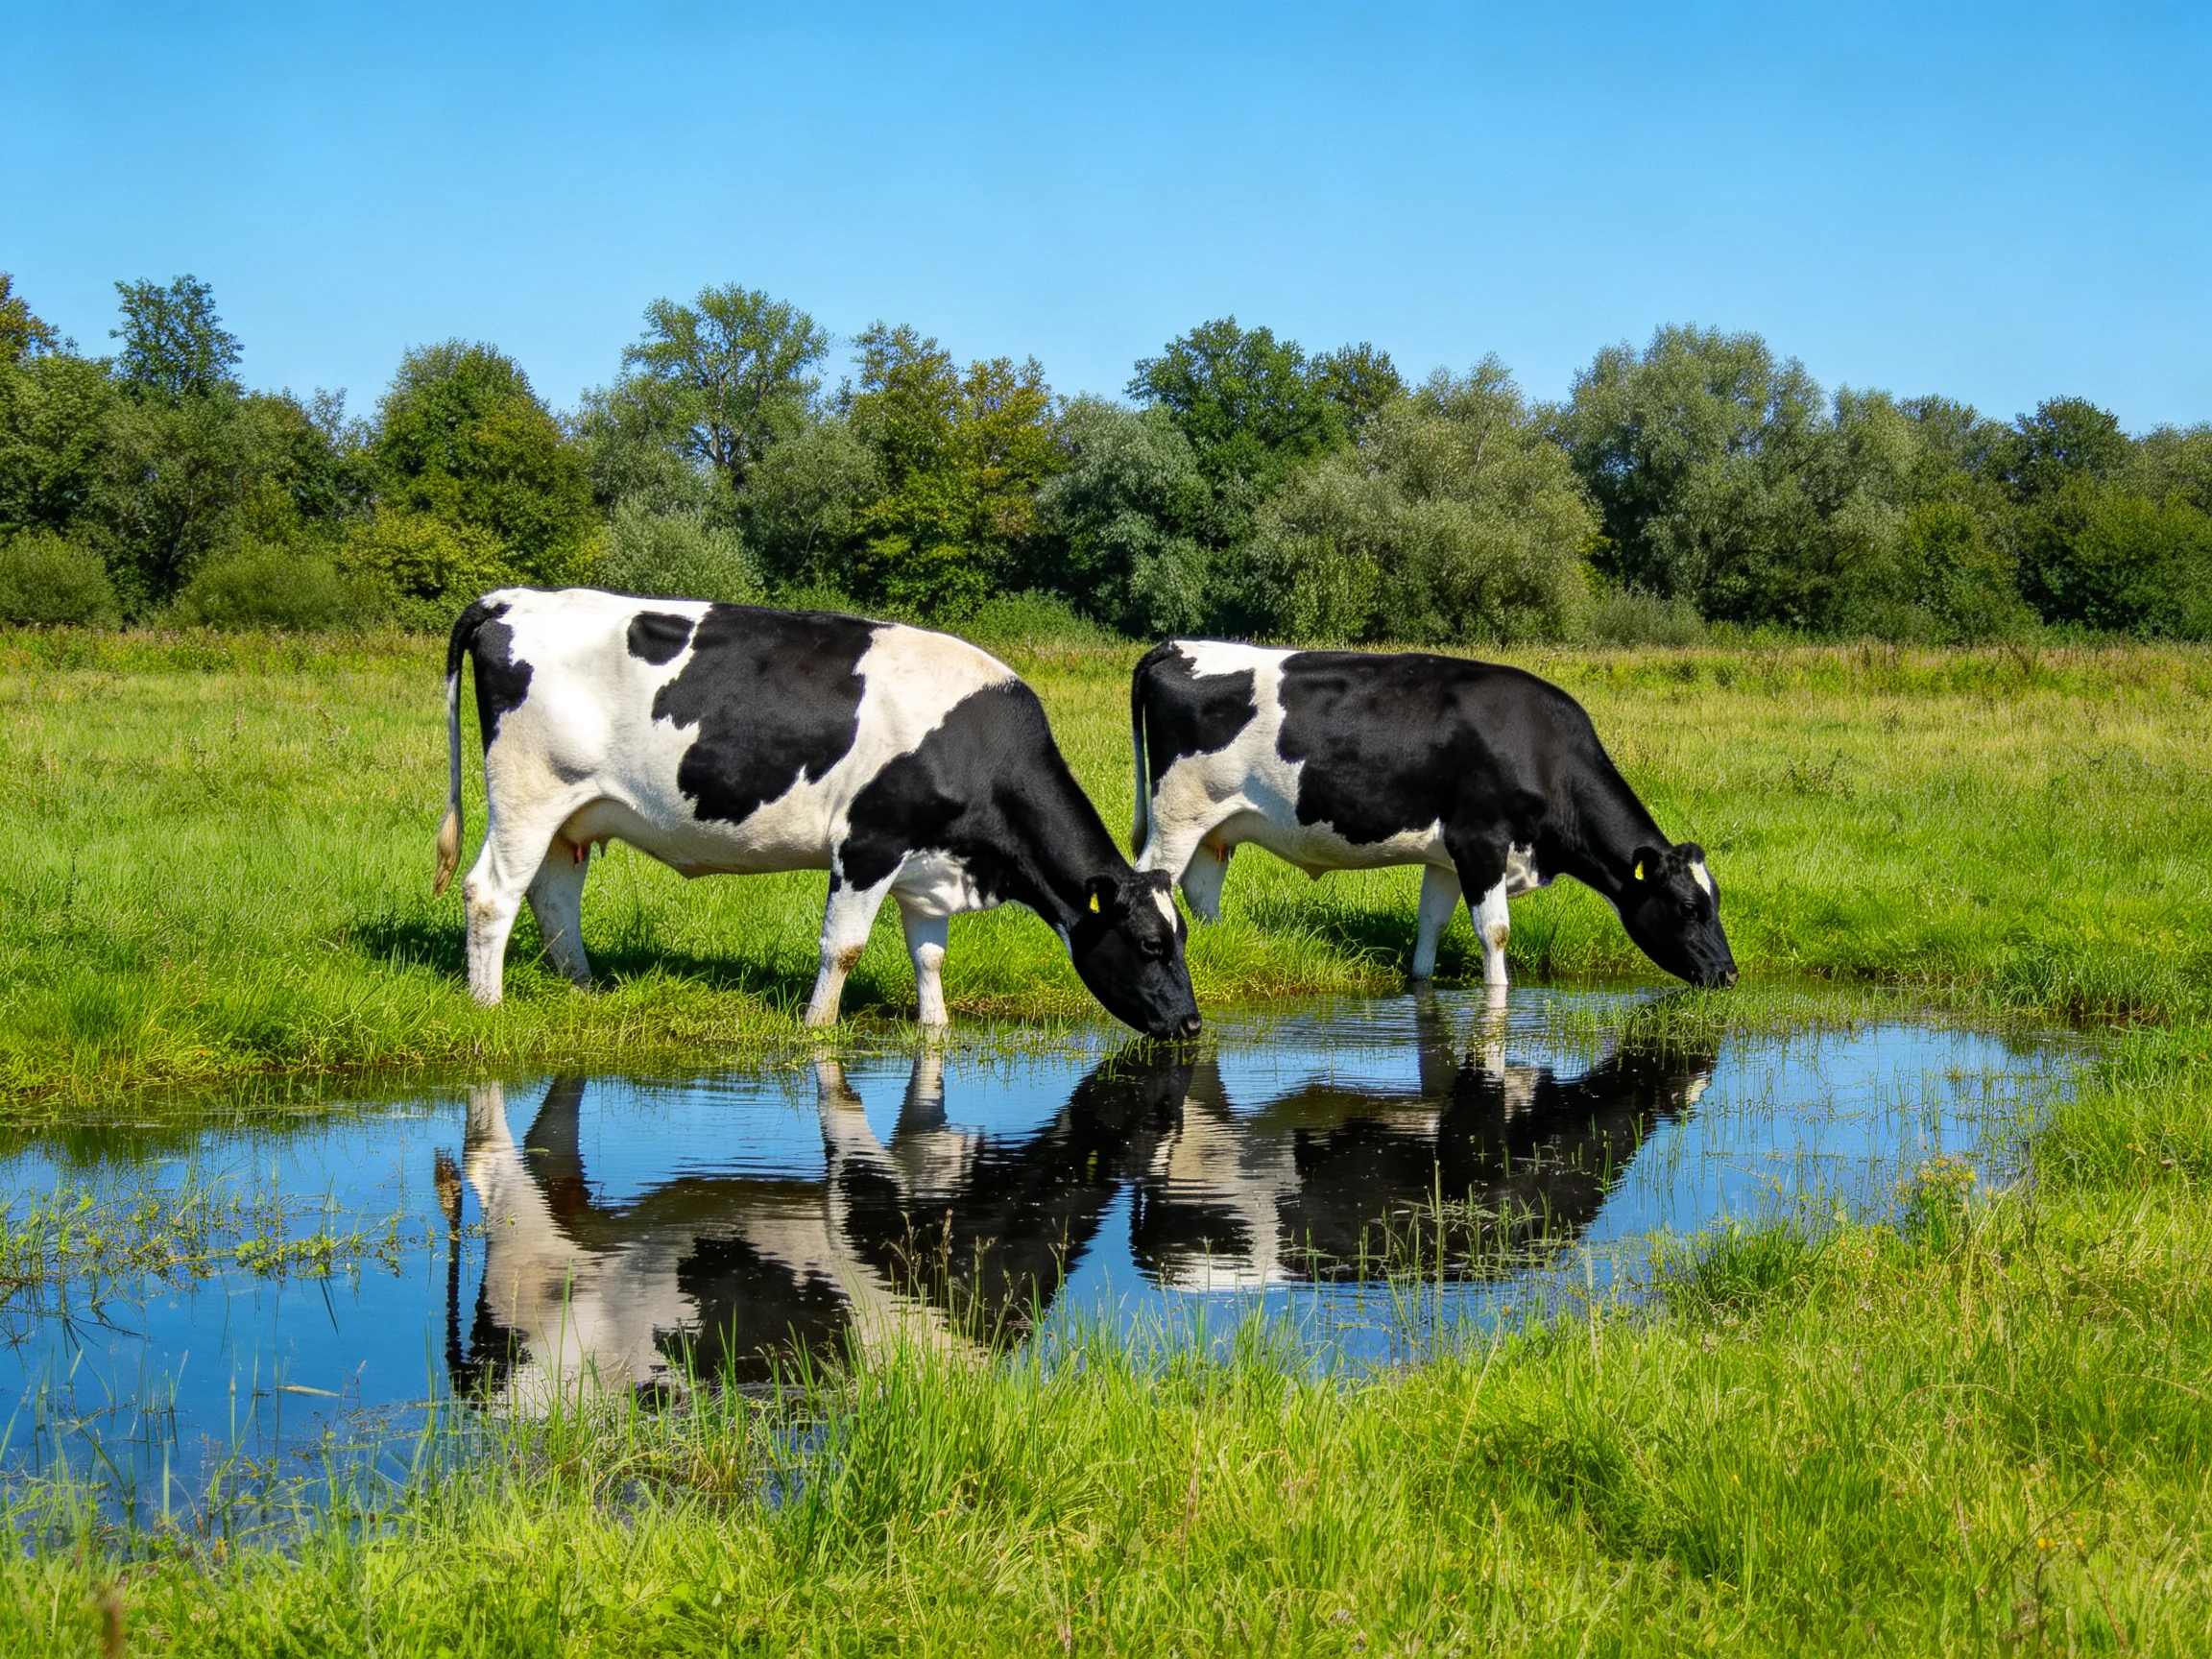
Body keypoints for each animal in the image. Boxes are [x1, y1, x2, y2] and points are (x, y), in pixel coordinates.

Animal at [434, 588, 1201, 1038]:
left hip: (575, 811)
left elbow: (929, 956)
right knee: (491, 893)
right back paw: (487, 1006)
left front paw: (935, 1029)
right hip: (528, 794)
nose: (1193, 1024)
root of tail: (512, 599)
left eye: (1182, 938)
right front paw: (816, 1028)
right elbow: (844, 948)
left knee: (554, 897)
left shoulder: (926, 867)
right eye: (1149, 945)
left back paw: (585, 992)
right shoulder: (868, 845)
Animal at [1129, 641, 1738, 989]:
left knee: (1202, 892)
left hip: (1216, 826)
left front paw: (1420, 982)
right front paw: (1498, 999)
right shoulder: (1480, 842)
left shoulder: (1447, 858)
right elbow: (1495, 933)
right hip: (1176, 815)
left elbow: (1433, 927)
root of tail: (1175, 645)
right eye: (1689, 908)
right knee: (1152, 879)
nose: (1729, 974)